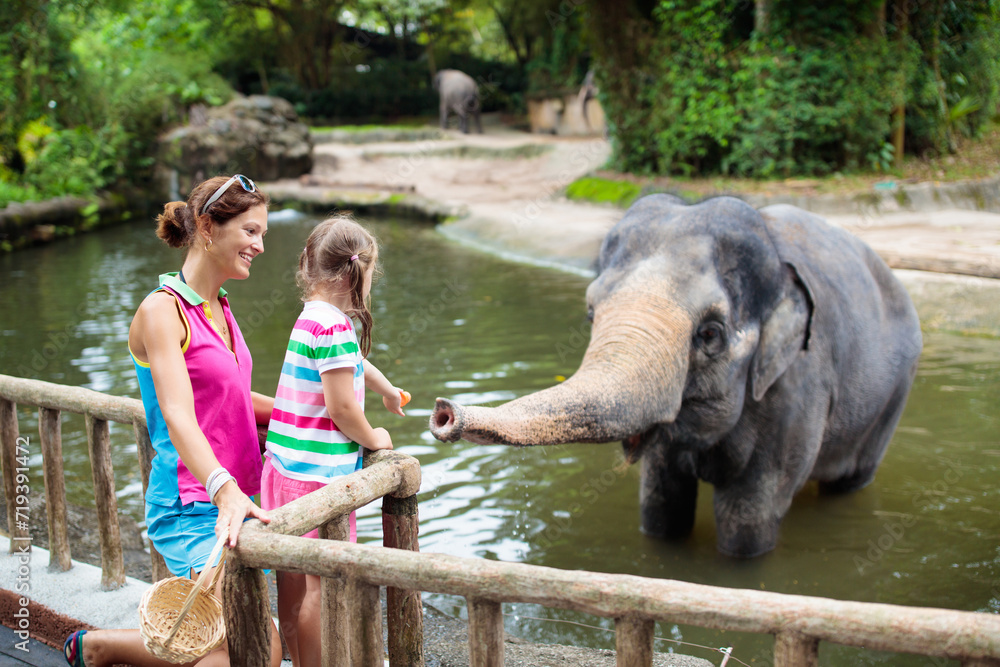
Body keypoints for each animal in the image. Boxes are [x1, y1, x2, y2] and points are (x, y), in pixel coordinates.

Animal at [430, 195, 922, 558]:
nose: (443, 412)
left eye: (710, 333)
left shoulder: (797, 387)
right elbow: (661, 506)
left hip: (894, 394)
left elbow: (747, 519)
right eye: (590, 312)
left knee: (851, 479)